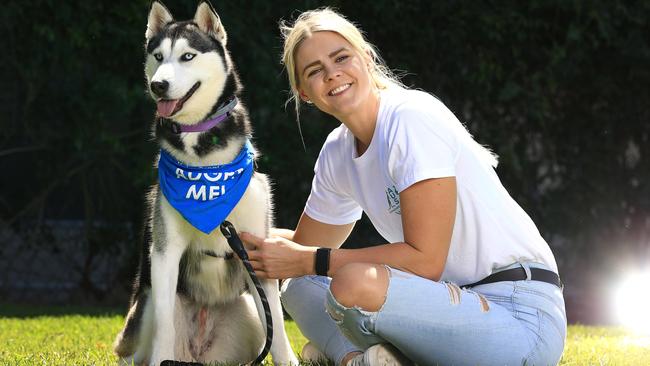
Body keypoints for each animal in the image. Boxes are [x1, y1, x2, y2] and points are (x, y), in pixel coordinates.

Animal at [112, 1, 298, 364]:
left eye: (187, 56)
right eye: (158, 56)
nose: (159, 85)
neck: (206, 168)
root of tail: (197, 354)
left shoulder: (256, 249)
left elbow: (280, 332)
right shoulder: (165, 252)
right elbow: (165, 328)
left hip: (248, 313)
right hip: (146, 304)